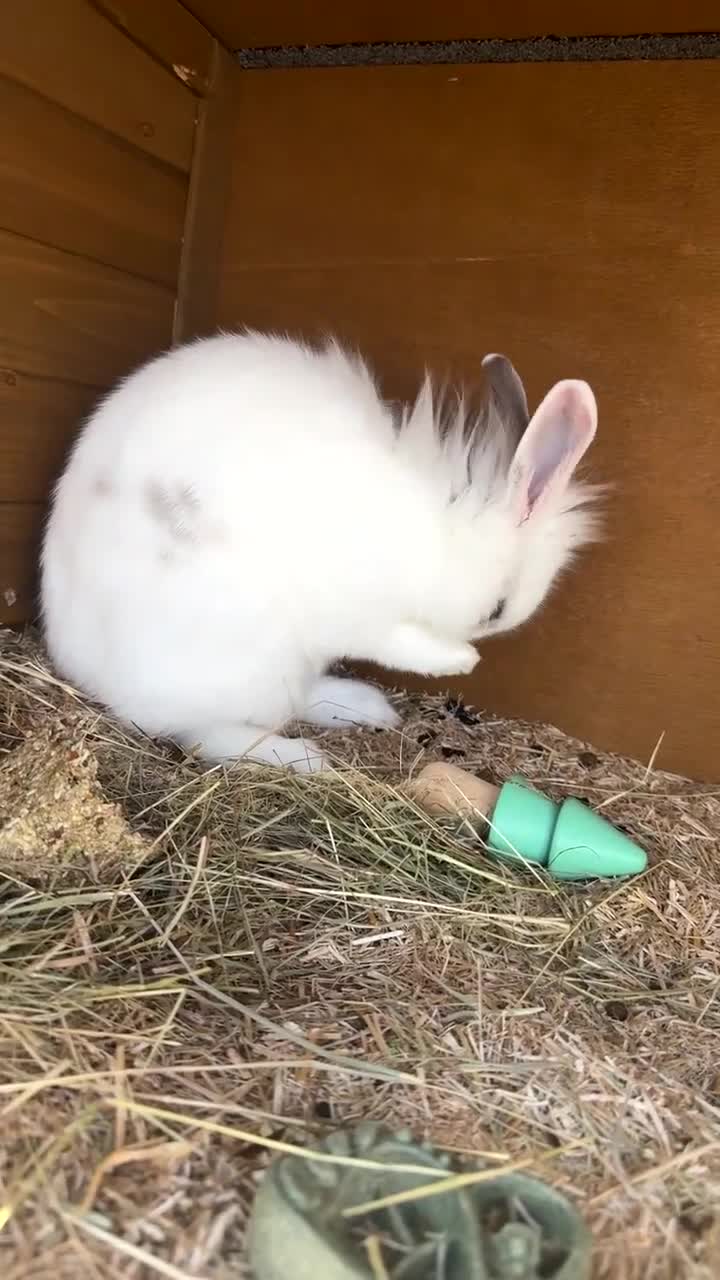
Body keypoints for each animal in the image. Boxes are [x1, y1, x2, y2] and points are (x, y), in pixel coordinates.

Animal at [40, 331, 600, 772]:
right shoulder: (357, 609)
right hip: (244, 664)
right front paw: (460, 660)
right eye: (496, 610)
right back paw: (305, 758)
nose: (484, 641)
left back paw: (366, 708)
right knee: (204, 732)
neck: (436, 532)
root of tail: (83, 672)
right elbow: (398, 642)